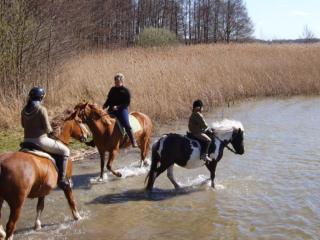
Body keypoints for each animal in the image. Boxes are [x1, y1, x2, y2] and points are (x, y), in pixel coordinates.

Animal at [0, 110, 89, 240]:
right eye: (79, 121)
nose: (87, 135)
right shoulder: (66, 183)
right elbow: (71, 201)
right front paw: (78, 217)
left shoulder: (43, 189)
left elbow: (40, 206)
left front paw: (37, 226)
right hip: (17, 202)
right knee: (11, 225)